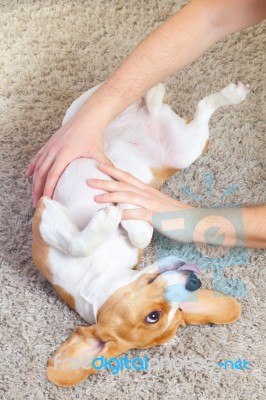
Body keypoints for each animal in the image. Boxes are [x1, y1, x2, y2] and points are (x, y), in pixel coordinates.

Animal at [31, 80, 249, 384]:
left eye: (171, 312)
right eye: (154, 316)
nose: (195, 282)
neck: (96, 273)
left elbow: (128, 234)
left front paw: (122, 213)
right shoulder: (41, 221)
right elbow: (80, 241)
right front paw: (118, 213)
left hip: (186, 149)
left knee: (203, 107)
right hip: (81, 114)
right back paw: (154, 95)